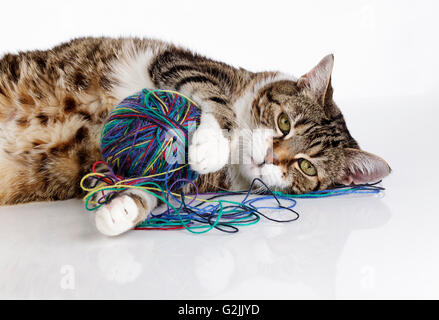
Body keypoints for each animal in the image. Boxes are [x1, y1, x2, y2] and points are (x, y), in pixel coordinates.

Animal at [0, 37, 392, 236]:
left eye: (307, 167)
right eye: (284, 123)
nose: (269, 158)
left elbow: (159, 187)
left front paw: (122, 209)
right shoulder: (177, 60)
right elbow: (214, 97)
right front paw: (214, 143)